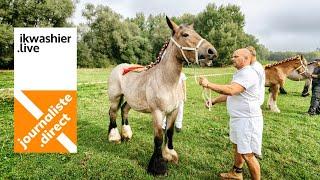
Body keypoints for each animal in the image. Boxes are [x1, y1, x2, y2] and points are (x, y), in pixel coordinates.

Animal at [107, 16, 218, 175]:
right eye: (185, 34)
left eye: (196, 32)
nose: (212, 52)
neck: (166, 81)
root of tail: (119, 67)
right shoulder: (158, 113)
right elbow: (158, 138)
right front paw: (158, 166)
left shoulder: (174, 111)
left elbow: (169, 133)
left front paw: (170, 155)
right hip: (115, 98)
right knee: (113, 113)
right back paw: (114, 137)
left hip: (131, 100)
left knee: (124, 110)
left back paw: (126, 135)